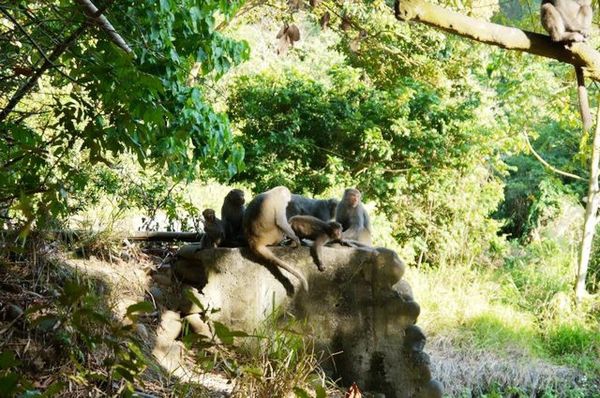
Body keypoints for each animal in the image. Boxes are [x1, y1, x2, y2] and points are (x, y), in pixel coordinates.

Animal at [540, 0, 592, 131]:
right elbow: (559, 3)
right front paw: (580, 30)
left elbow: (585, 3)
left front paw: (584, 31)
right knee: (547, 6)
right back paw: (562, 36)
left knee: (586, 8)